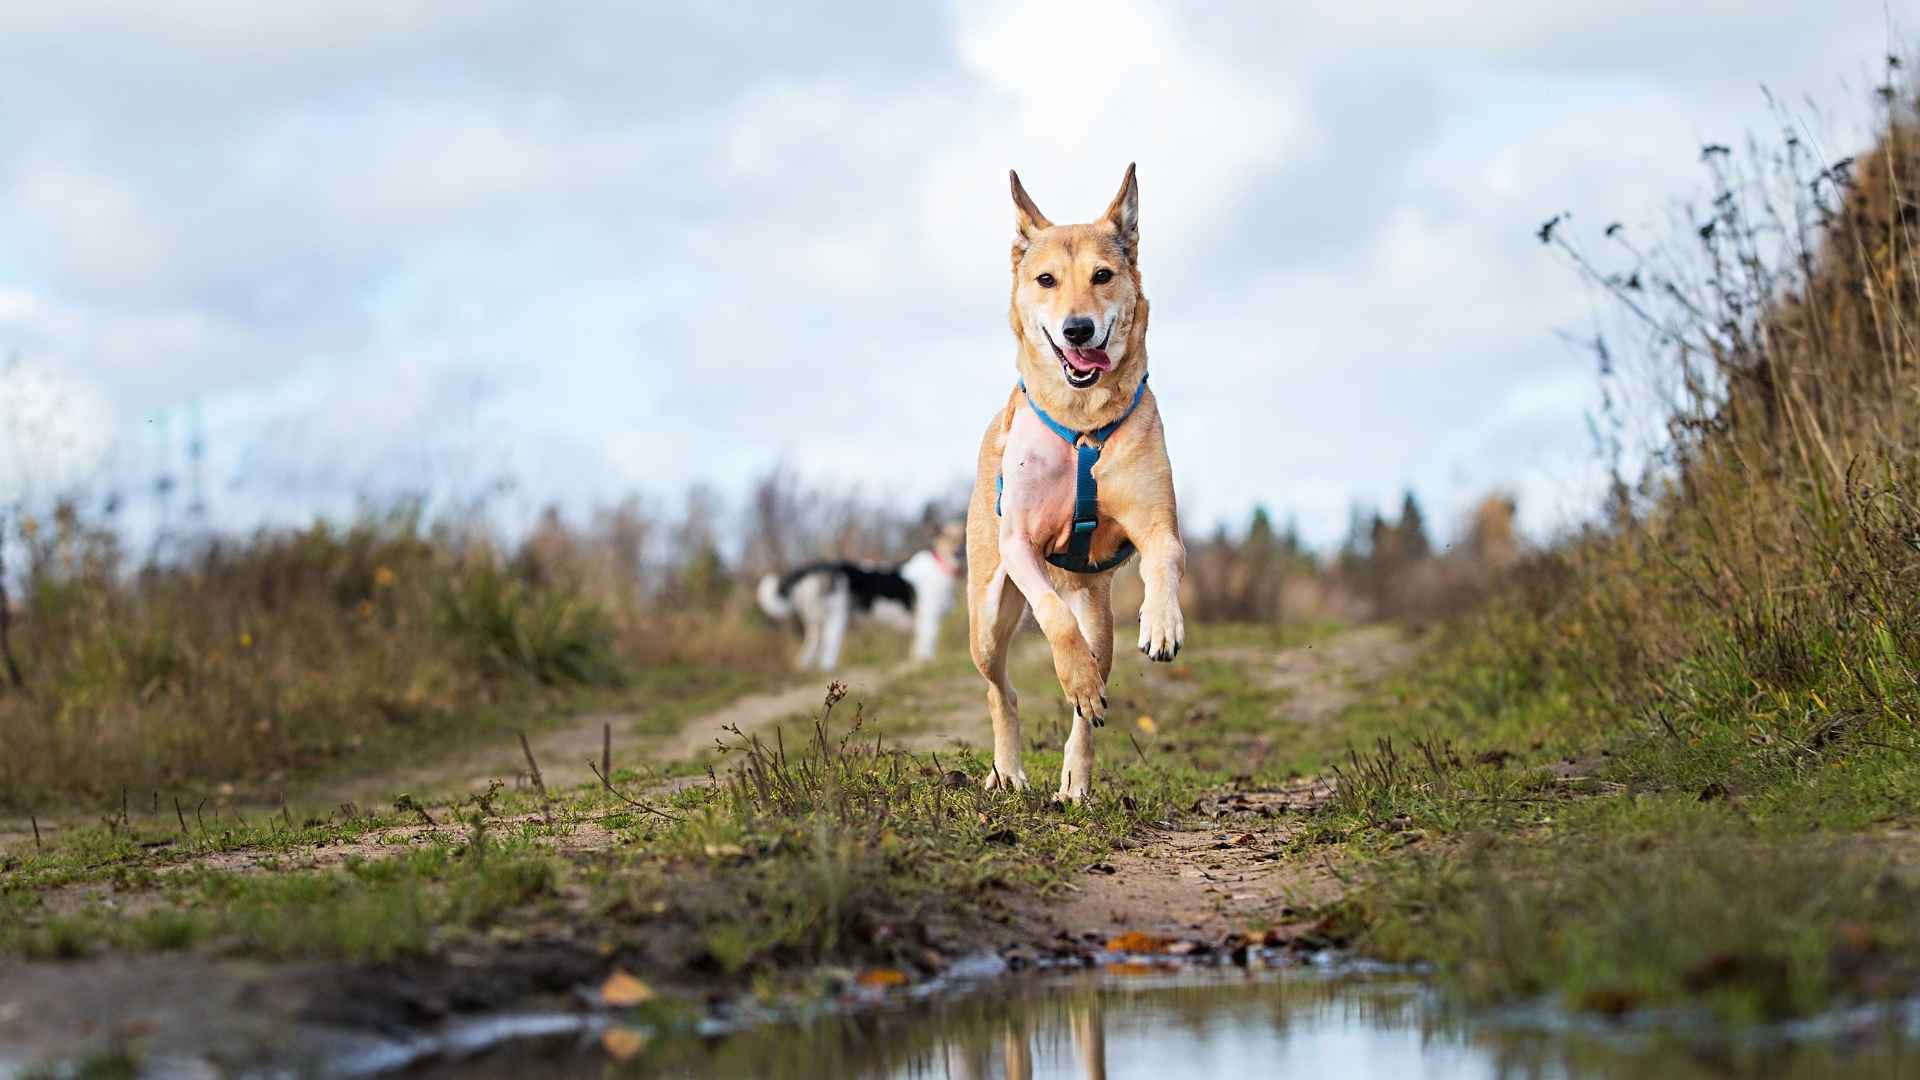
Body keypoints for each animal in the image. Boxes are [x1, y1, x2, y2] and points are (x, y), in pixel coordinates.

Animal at [748, 522, 960, 668]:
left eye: (961, 536)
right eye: (946, 538)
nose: (958, 552)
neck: (941, 565)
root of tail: (821, 565)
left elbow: (918, 648)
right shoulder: (928, 618)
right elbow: (927, 645)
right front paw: (926, 661)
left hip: (816, 623)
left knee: (809, 651)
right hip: (836, 619)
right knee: (827, 653)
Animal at [960, 161, 1182, 799]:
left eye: (1102, 275)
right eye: (1047, 280)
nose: (1079, 329)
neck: (1083, 423)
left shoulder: (1155, 520)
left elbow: (1165, 556)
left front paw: (1162, 623)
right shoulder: (1019, 544)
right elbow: (1053, 620)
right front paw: (1073, 674)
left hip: (1099, 616)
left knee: (1088, 700)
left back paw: (1075, 781)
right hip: (986, 619)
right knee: (1001, 689)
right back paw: (1009, 769)